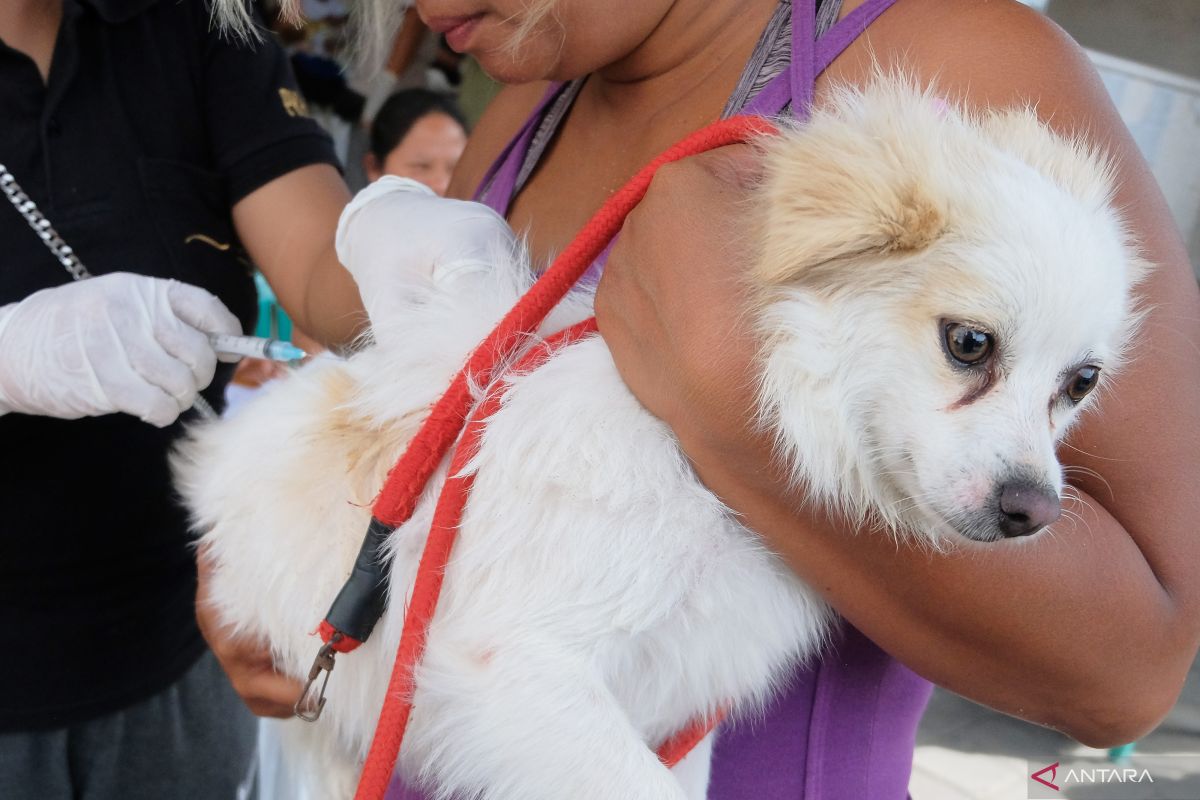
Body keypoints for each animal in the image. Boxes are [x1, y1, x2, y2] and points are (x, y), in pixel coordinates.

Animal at [174, 79, 1147, 800]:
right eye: (969, 343)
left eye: (1080, 384)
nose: (1036, 512)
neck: (706, 473)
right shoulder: (518, 669)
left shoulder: (675, 705)